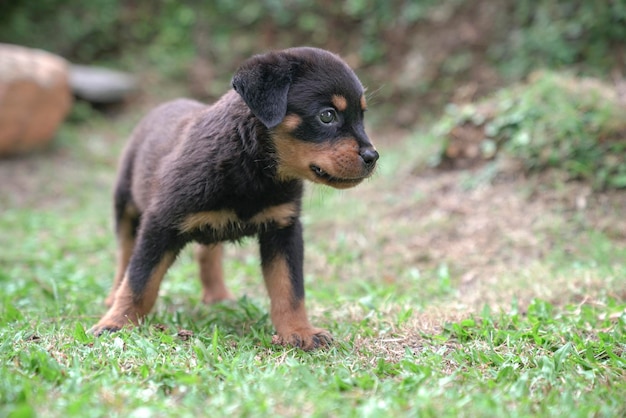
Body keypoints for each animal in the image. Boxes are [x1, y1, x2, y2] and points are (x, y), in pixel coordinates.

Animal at [90, 47, 378, 352]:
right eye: (327, 116)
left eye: (362, 116)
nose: (373, 156)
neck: (251, 166)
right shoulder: (160, 222)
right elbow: (140, 280)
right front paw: (116, 324)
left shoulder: (284, 228)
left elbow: (289, 288)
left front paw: (299, 331)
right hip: (126, 205)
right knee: (125, 254)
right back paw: (113, 297)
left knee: (208, 252)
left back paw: (217, 296)